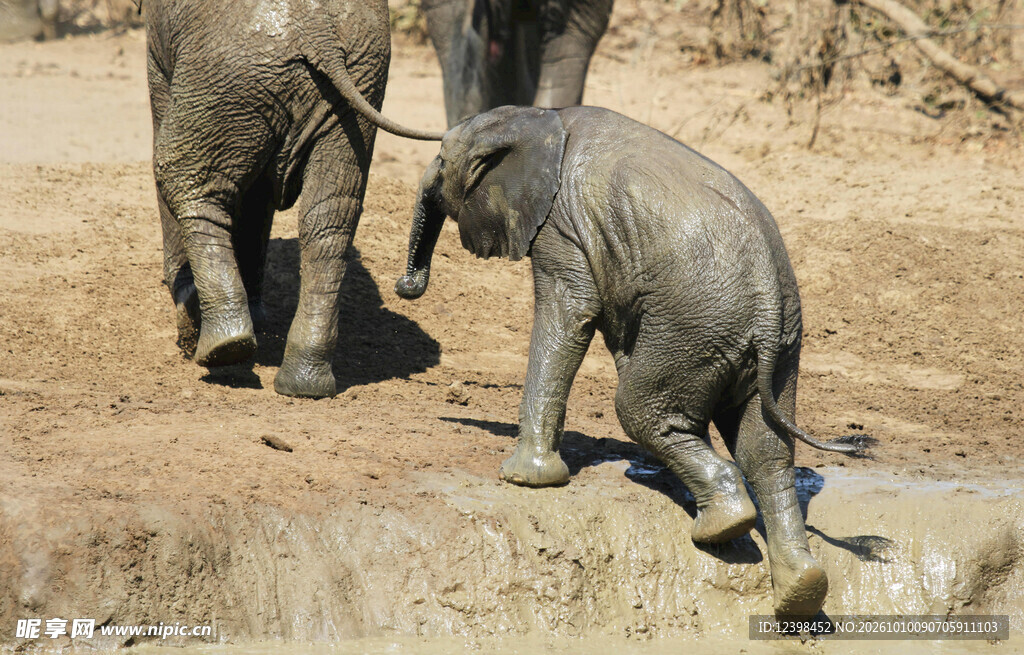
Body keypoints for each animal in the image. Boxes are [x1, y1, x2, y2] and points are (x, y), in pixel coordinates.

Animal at [146, 0, 442, 398]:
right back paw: (304, 384)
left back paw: (220, 347)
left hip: (226, 78)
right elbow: (258, 202)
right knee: (330, 218)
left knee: (181, 176)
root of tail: (319, 33)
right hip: (354, 84)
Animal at [394, 106, 871, 616]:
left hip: (695, 325)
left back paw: (721, 524)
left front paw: (524, 479)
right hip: (776, 346)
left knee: (639, 409)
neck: (540, 119)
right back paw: (799, 587)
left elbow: (569, 310)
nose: (406, 288)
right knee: (765, 451)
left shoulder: (559, 225)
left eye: (442, 161)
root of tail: (766, 302)